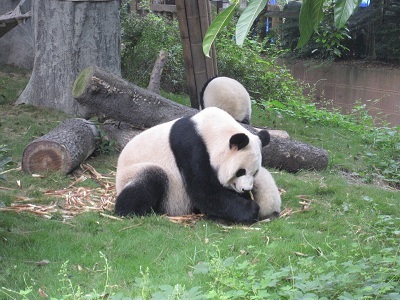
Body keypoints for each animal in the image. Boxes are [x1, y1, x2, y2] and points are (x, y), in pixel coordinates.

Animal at [114, 106, 280, 224]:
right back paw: (129, 210)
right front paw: (251, 209)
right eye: (241, 171)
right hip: (134, 172)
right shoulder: (191, 147)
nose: (246, 189)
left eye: (255, 172)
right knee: (150, 179)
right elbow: (204, 190)